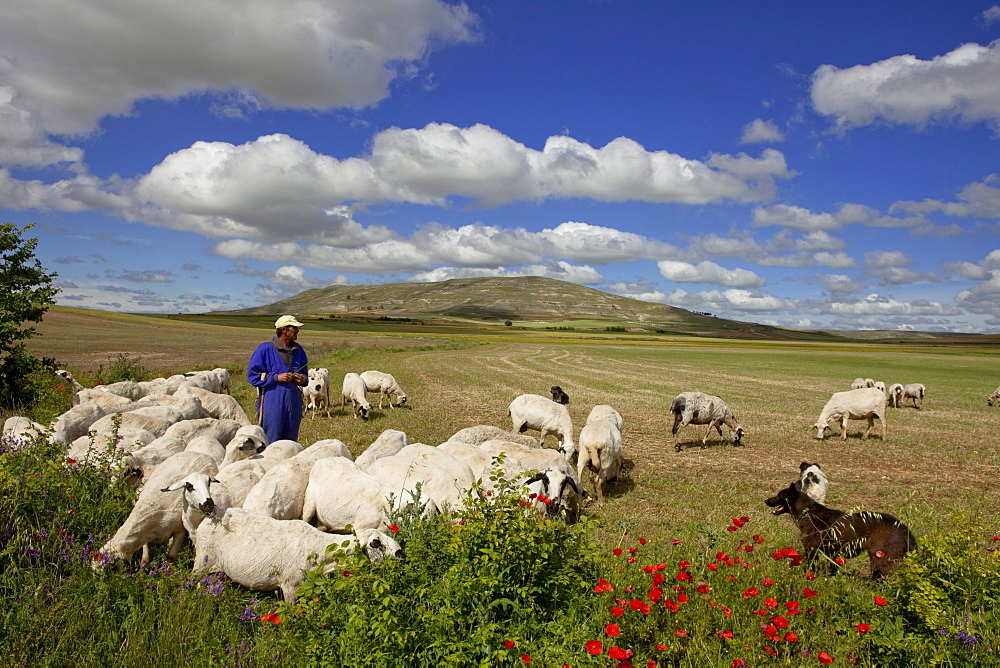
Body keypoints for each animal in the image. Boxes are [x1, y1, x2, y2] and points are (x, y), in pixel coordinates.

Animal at [192, 506, 402, 604]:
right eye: (376, 542)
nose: (400, 553)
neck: (319, 551)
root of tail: (210, 517)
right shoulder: (290, 586)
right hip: (202, 561)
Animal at [760, 480, 916, 580]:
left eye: (779, 496)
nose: (766, 500)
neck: (807, 511)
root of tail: (902, 527)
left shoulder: (811, 549)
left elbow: (809, 567)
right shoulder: (834, 554)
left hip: (880, 558)